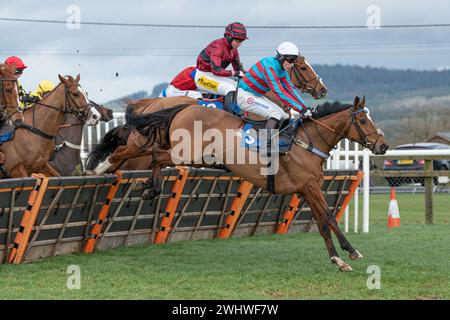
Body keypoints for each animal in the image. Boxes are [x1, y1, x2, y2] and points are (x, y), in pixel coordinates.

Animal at [125, 95, 388, 272]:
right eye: (363, 120)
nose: (382, 145)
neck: (307, 142)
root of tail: (185, 107)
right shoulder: (310, 187)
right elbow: (331, 218)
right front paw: (351, 252)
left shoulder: (307, 190)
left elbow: (323, 223)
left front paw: (337, 259)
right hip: (186, 153)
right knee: (156, 155)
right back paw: (148, 187)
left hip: (194, 155)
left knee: (156, 155)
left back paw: (149, 188)